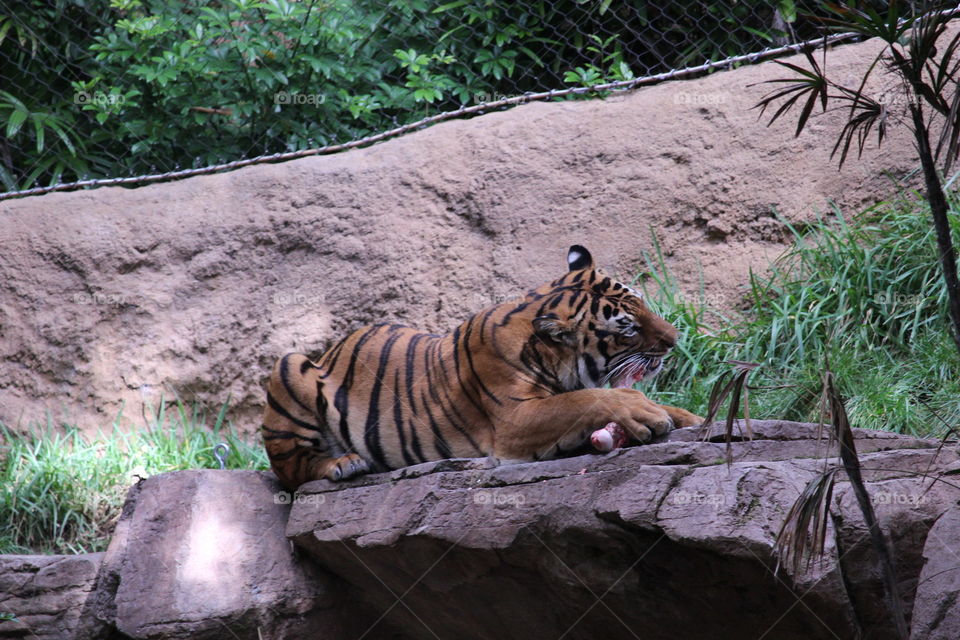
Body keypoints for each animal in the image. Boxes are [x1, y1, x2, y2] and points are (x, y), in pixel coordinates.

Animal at [262, 245, 703, 490]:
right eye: (627, 327)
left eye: (641, 302)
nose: (675, 337)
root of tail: (330, 351)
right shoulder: (514, 420)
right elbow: (585, 400)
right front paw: (644, 412)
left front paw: (690, 417)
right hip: (289, 365)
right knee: (291, 471)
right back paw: (344, 462)